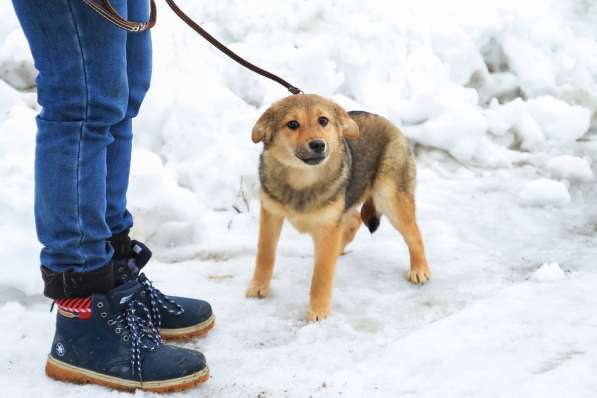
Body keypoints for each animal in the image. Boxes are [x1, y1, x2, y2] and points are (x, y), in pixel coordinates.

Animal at [246, 95, 428, 322]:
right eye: (292, 124)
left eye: (323, 120)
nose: (318, 144)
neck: (302, 179)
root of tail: (388, 122)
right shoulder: (271, 213)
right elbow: (265, 254)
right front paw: (258, 286)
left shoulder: (327, 226)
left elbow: (322, 274)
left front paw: (318, 311)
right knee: (354, 221)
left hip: (390, 199)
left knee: (414, 234)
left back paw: (420, 269)